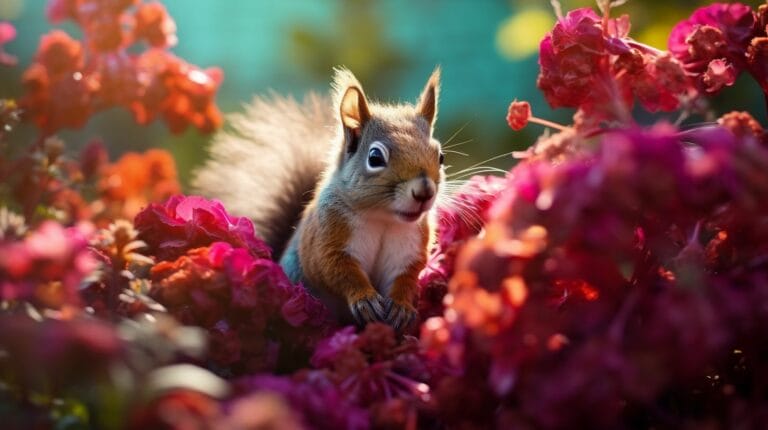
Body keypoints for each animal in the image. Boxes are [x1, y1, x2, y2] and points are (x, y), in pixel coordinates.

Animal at [194, 67, 444, 330]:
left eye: (440, 156)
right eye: (375, 157)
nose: (424, 192)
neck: (383, 219)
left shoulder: (408, 250)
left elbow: (405, 278)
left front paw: (401, 307)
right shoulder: (327, 238)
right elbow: (337, 270)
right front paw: (365, 299)